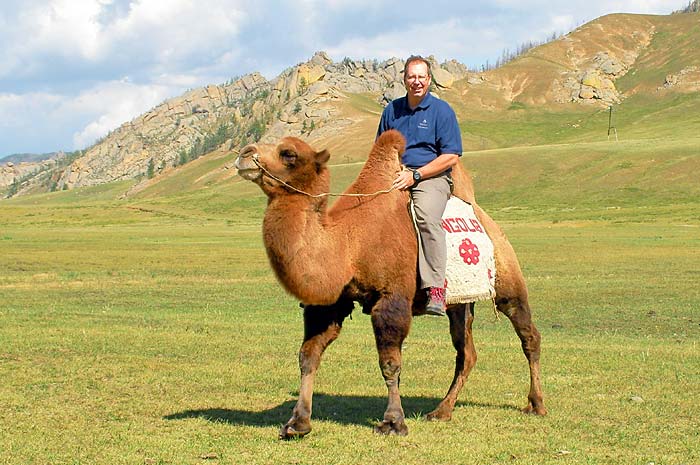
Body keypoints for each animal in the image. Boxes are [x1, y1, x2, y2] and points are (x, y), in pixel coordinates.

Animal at [235, 129, 548, 436]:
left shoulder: (391, 298)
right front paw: (297, 423)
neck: (349, 242)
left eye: (288, 153)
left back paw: (536, 404)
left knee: (528, 335)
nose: (245, 154)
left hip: (508, 280)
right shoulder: (330, 303)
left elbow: (390, 364)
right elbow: (308, 356)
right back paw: (441, 411)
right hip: (458, 302)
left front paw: (393, 422)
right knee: (466, 352)